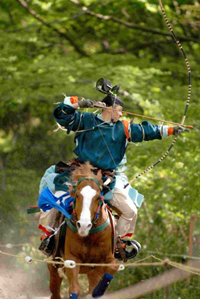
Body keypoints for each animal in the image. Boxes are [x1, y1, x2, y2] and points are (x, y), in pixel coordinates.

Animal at [47, 163, 119, 299]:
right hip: (53, 265)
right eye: (77, 195)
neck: (90, 236)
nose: (84, 226)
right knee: (55, 291)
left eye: (98, 198)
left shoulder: (103, 261)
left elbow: (114, 264)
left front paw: (98, 290)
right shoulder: (71, 259)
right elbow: (74, 289)